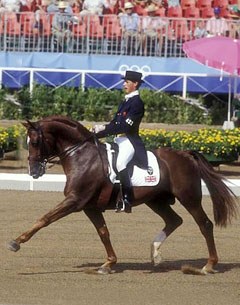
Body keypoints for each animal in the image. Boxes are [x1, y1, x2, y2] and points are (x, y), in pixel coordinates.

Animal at [7, 115, 238, 274]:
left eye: (35, 142)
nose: (33, 172)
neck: (82, 155)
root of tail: (185, 154)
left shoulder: (74, 201)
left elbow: (44, 219)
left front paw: (16, 242)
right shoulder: (89, 206)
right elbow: (104, 233)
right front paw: (108, 263)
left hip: (189, 198)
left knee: (205, 225)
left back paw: (208, 266)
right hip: (156, 201)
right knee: (174, 220)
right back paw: (155, 254)